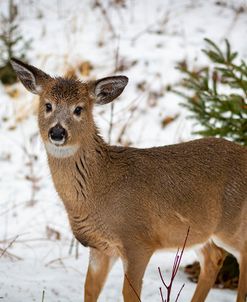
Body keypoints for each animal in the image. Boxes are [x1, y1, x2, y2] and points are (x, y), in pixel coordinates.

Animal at [11, 57, 247, 300]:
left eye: (78, 109)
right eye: (48, 105)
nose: (57, 132)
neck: (98, 189)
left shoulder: (138, 240)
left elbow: (129, 292)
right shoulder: (101, 248)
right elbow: (89, 289)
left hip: (233, 221)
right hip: (196, 231)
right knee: (213, 257)